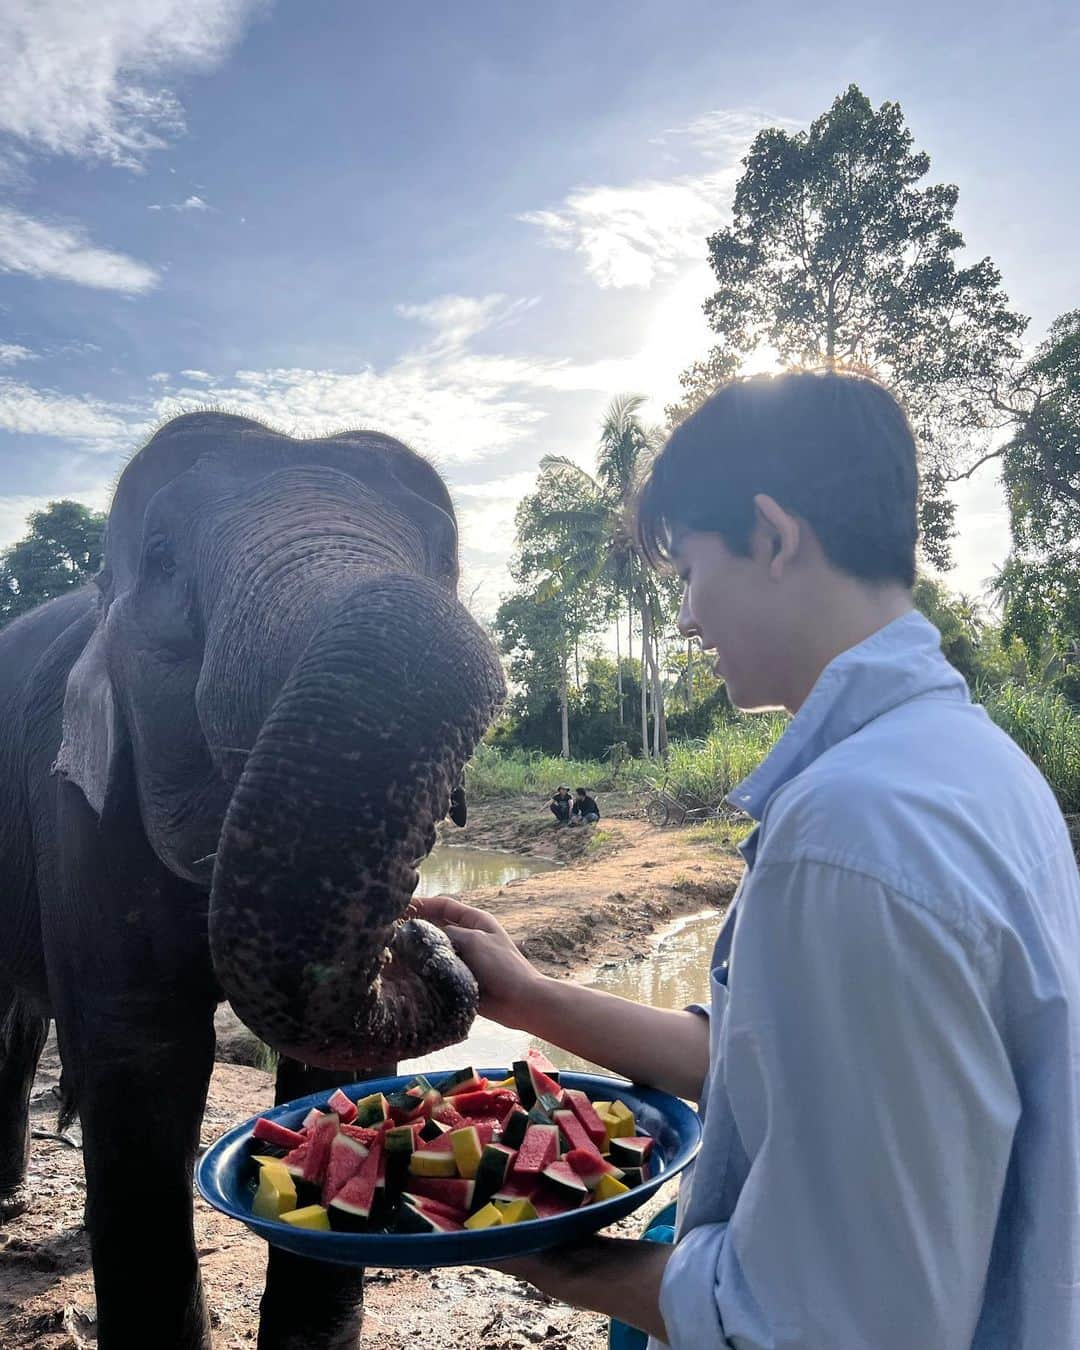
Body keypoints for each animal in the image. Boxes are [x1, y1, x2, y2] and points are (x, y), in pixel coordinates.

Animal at [0, 410, 507, 1350]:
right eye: (163, 556)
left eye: (445, 551)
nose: (422, 932)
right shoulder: (77, 810)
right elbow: (143, 1052)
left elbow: (331, 1070)